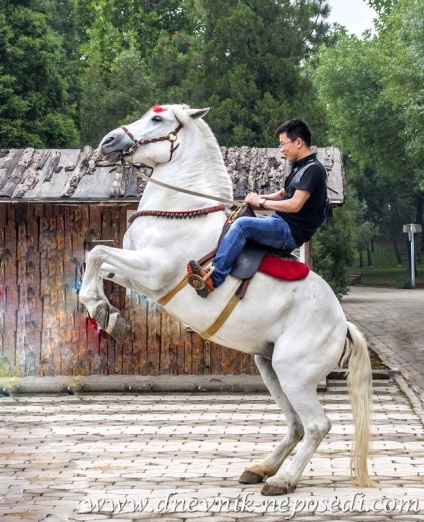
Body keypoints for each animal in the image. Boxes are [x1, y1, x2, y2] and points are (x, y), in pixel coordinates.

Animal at [78, 103, 372, 494]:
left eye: (157, 118)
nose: (108, 142)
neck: (180, 212)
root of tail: (342, 327)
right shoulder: (140, 276)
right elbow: (97, 264)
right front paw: (108, 314)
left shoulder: (153, 271)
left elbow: (97, 253)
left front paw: (105, 313)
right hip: (270, 367)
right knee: (295, 424)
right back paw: (260, 468)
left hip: (294, 373)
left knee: (315, 426)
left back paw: (282, 480)